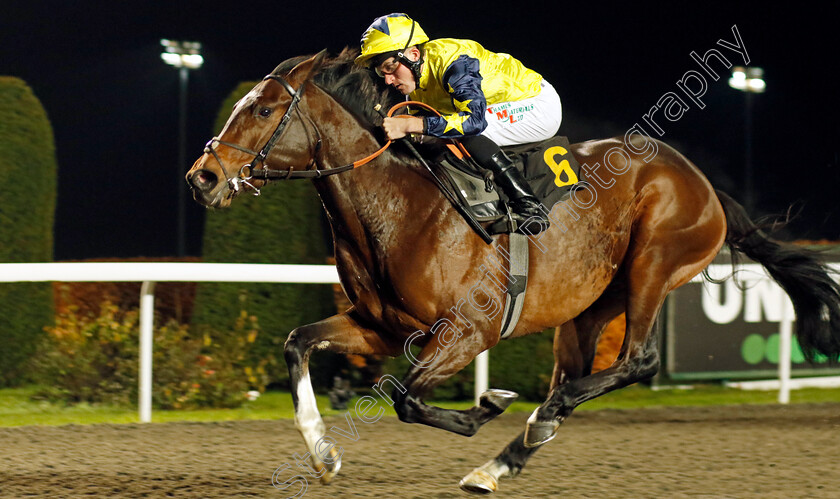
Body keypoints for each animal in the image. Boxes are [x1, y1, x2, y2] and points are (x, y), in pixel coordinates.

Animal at [185, 48, 840, 494]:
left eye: (264, 108)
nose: (203, 177)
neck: (401, 205)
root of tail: (704, 186)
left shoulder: (467, 330)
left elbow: (407, 398)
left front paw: (489, 402)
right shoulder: (381, 328)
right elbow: (299, 344)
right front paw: (323, 454)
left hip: (653, 267)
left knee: (638, 361)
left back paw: (531, 422)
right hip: (586, 309)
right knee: (577, 378)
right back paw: (505, 458)